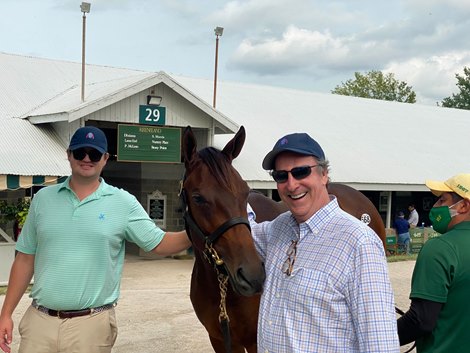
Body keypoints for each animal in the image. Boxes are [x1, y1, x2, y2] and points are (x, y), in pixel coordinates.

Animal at [180, 125, 386, 350]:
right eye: (198, 198)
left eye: (245, 191)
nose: (252, 276)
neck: (222, 291)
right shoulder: (219, 340)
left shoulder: (254, 341)